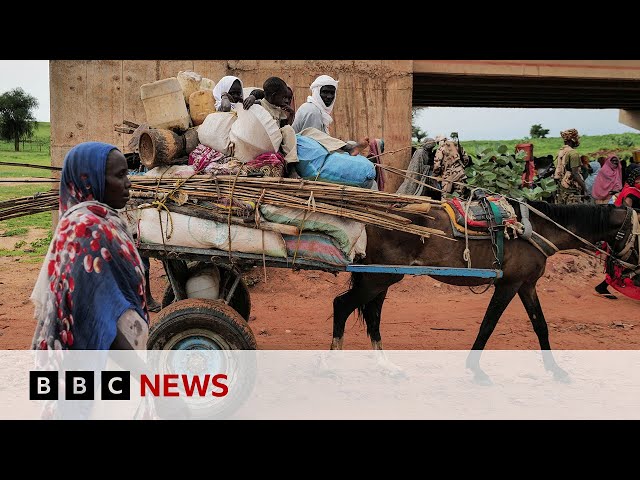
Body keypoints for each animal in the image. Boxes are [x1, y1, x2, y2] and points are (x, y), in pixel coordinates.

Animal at [332, 197, 636, 384]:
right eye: (639, 234)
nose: (632, 271)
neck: (536, 229)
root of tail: (370, 217)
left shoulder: (527, 284)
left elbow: (541, 326)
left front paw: (556, 370)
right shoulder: (509, 284)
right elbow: (488, 324)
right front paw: (476, 370)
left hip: (381, 278)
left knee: (372, 316)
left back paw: (387, 366)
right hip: (378, 279)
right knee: (342, 305)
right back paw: (330, 365)